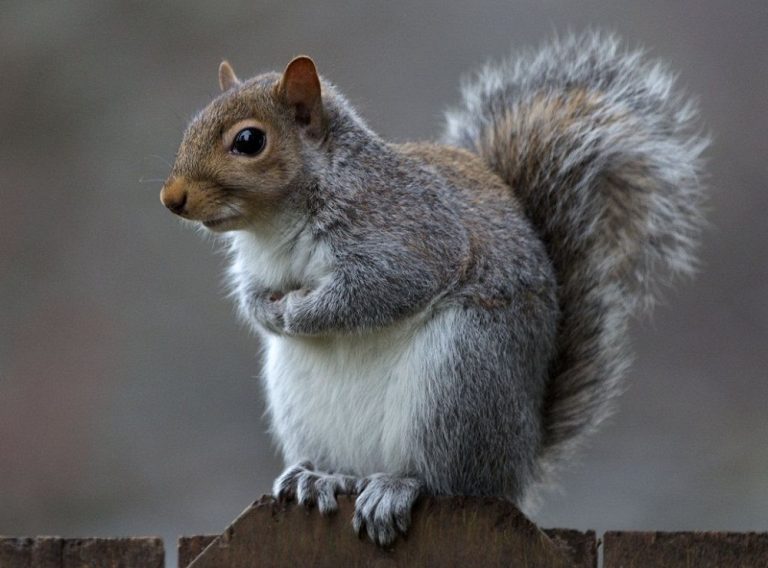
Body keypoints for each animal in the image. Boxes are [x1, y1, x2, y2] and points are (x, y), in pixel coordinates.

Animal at [160, 33, 706, 546]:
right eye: (191, 126)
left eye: (249, 141)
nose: (171, 198)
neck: (275, 226)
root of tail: (520, 464)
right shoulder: (258, 268)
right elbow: (252, 296)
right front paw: (269, 313)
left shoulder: (412, 237)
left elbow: (375, 290)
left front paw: (300, 313)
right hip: (301, 400)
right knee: (350, 470)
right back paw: (321, 478)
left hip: (459, 380)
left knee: (448, 479)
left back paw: (397, 488)